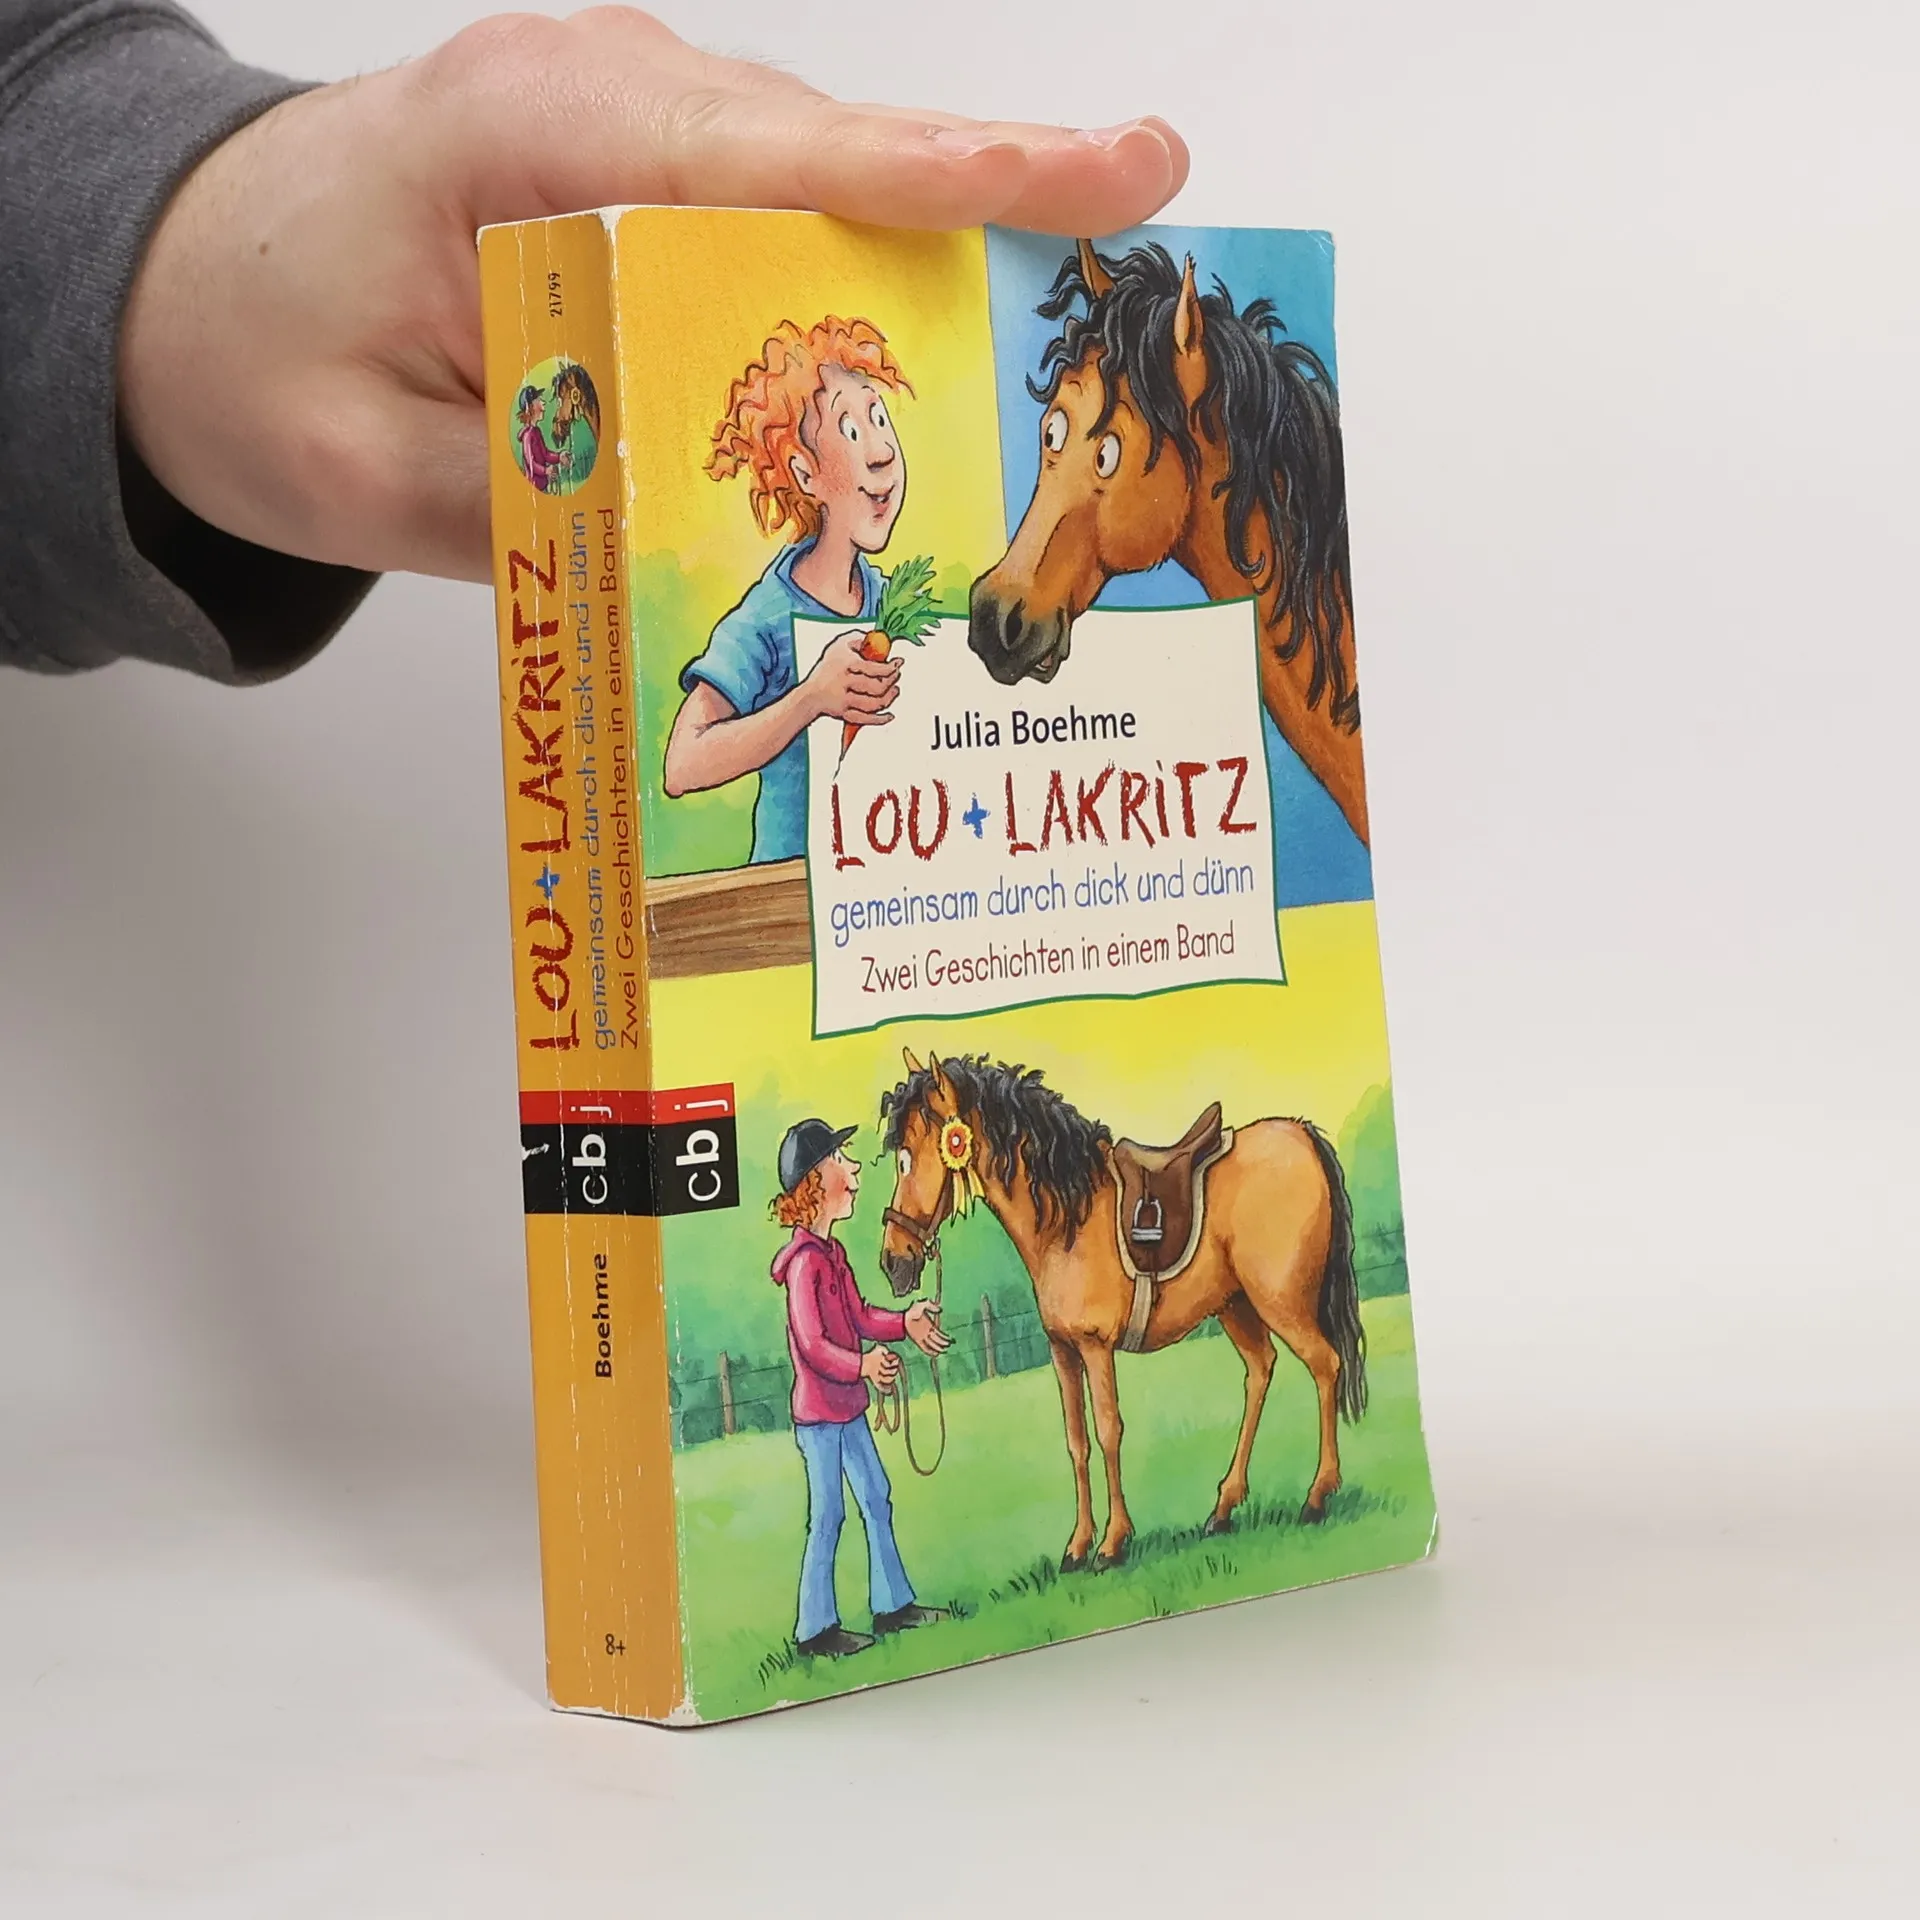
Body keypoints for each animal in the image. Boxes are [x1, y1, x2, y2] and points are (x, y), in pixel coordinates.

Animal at [877, 1049, 1367, 1570]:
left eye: (908, 1158)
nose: (893, 1261)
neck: (1066, 1219)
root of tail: (1299, 1134)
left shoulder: (1096, 1348)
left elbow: (1109, 1431)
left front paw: (1113, 1542)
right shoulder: (1063, 1351)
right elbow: (1076, 1441)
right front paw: (1077, 1545)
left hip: (1281, 1301)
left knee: (1325, 1365)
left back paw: (1317, 1496)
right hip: (1236, 1306)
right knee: (1261, 1371)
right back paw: (1223, 1508)